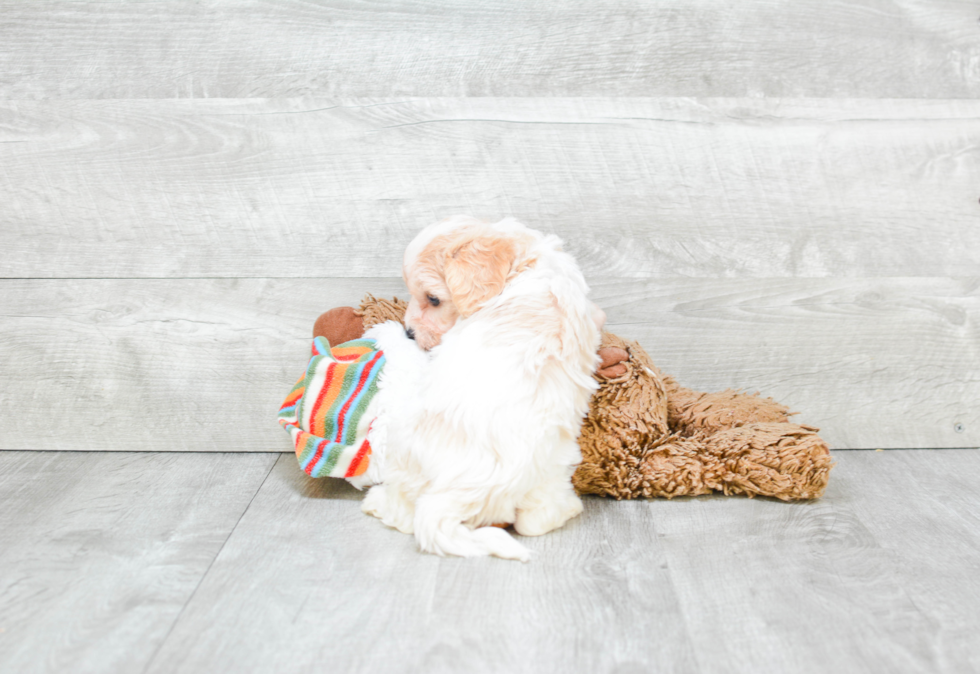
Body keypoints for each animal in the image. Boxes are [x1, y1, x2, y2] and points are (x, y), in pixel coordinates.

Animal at [364, 217, 600, 560]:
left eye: (433, 299)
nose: (409, 333)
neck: (526, 263)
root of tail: (459, 494)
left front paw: (388, 332)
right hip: (557, 468)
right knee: (536, 521)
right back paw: (568, 509)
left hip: (401, 451)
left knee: (403, 512)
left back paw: (376, 501)